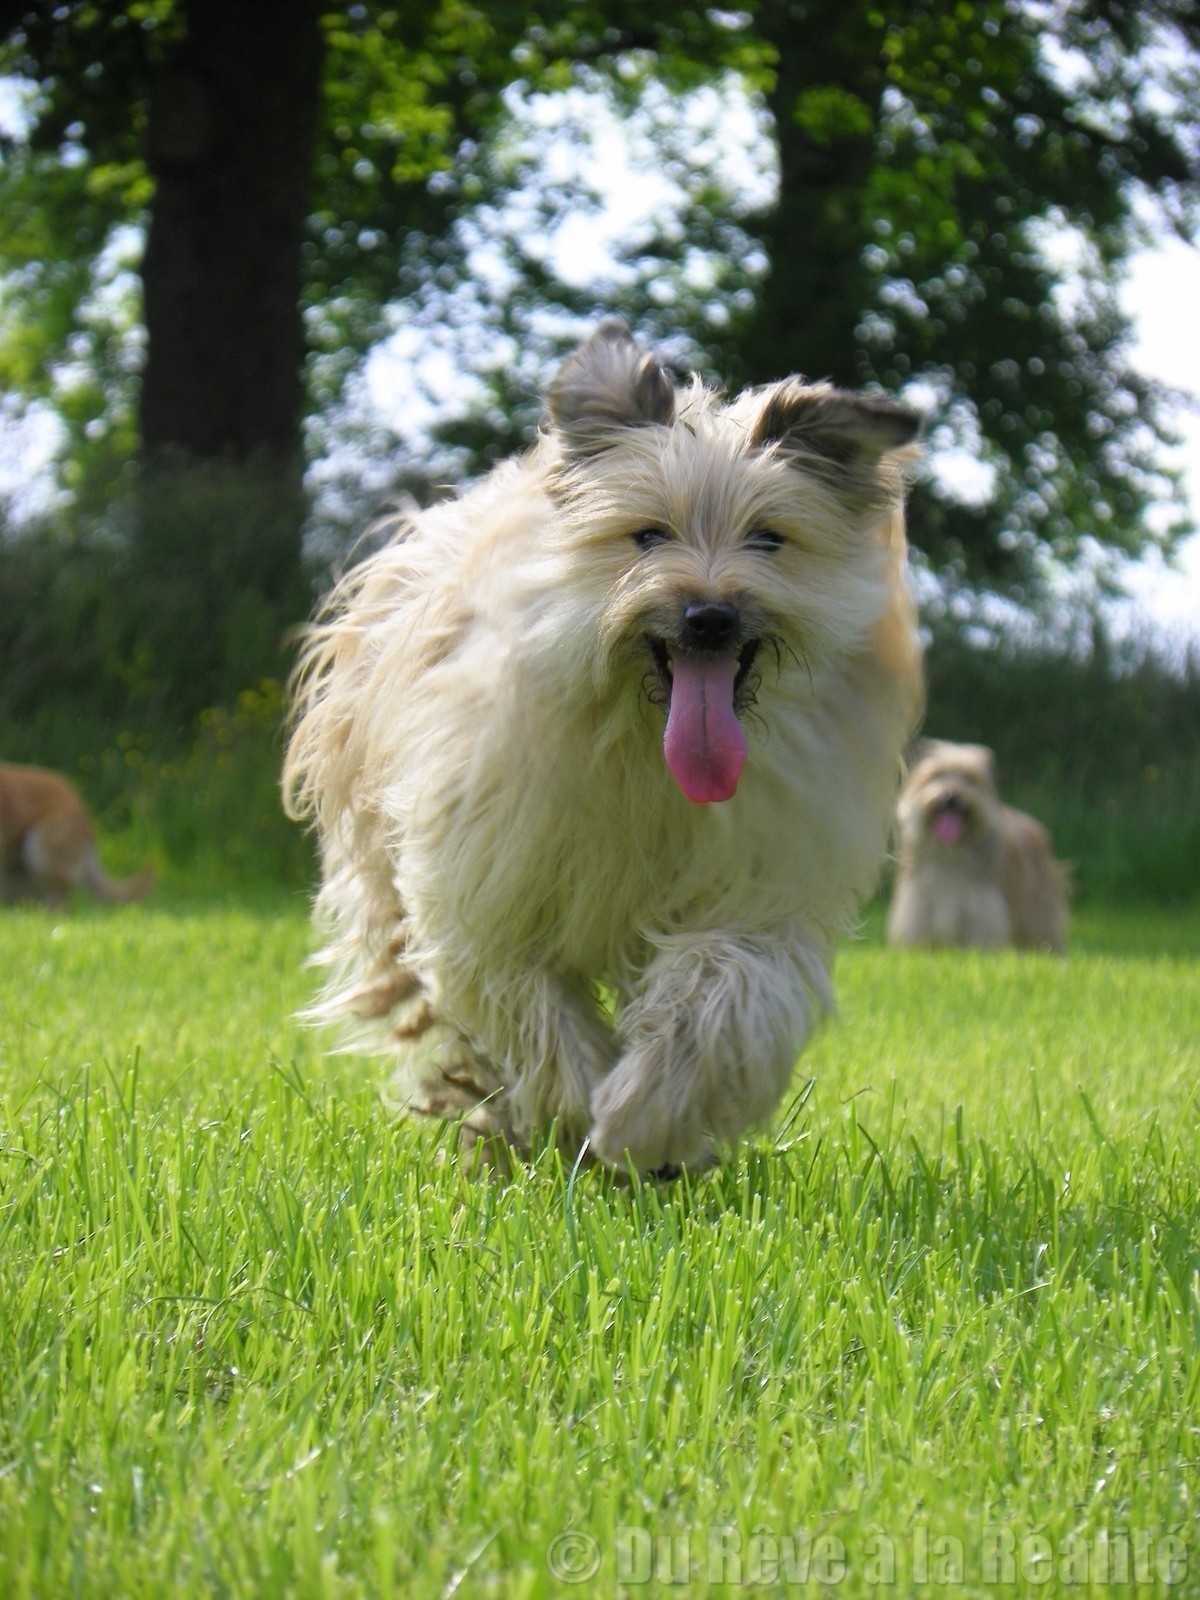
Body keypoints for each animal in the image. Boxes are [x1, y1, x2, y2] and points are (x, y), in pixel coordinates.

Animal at [284, 321, 923, 1174]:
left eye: (769, 539)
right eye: (647, 535)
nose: (709, 617)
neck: (648, 755)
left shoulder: (760, 897)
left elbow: (725, 992)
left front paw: (647, 1116)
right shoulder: (487, 888)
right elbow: (528, 1007)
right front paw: (580, 1109)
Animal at [886, 739, 1068, 953]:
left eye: (969, 779)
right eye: (937, 775)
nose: (951, 796)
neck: (952, 850)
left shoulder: (981, 904)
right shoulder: (920, 901)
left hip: (1038, 907)